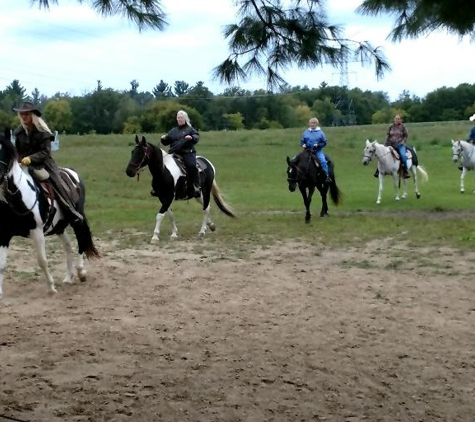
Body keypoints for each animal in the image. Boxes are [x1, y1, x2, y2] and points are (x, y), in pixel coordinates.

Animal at [0, 127, 99, 298]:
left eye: (5, 151)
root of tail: (72, 172)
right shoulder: (5, 234)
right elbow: (1, 264)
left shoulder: (37, 232)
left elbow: (42, 260)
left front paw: (51, 287)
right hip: (59, 226)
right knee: (68, 246)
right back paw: (68, 277)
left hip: (76, 219)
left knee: (81, 241)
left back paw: (81, 272)